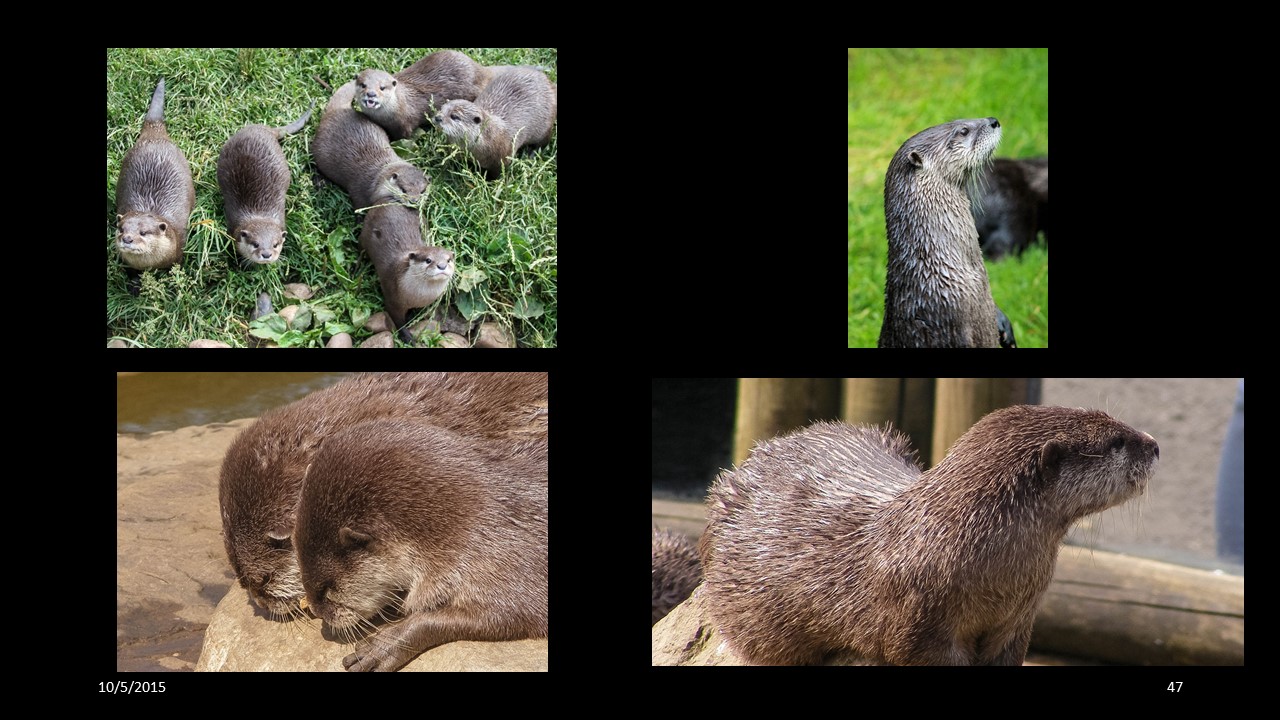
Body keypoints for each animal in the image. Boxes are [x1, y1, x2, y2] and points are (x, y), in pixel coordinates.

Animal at [359, 205, 454, 343]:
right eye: (428, 260)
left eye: (448, 260)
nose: (442, 266)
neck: (418, 297)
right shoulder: (393, 299)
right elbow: (398, 320)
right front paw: (407, 337)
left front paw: (411, 316)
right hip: (364, 235)